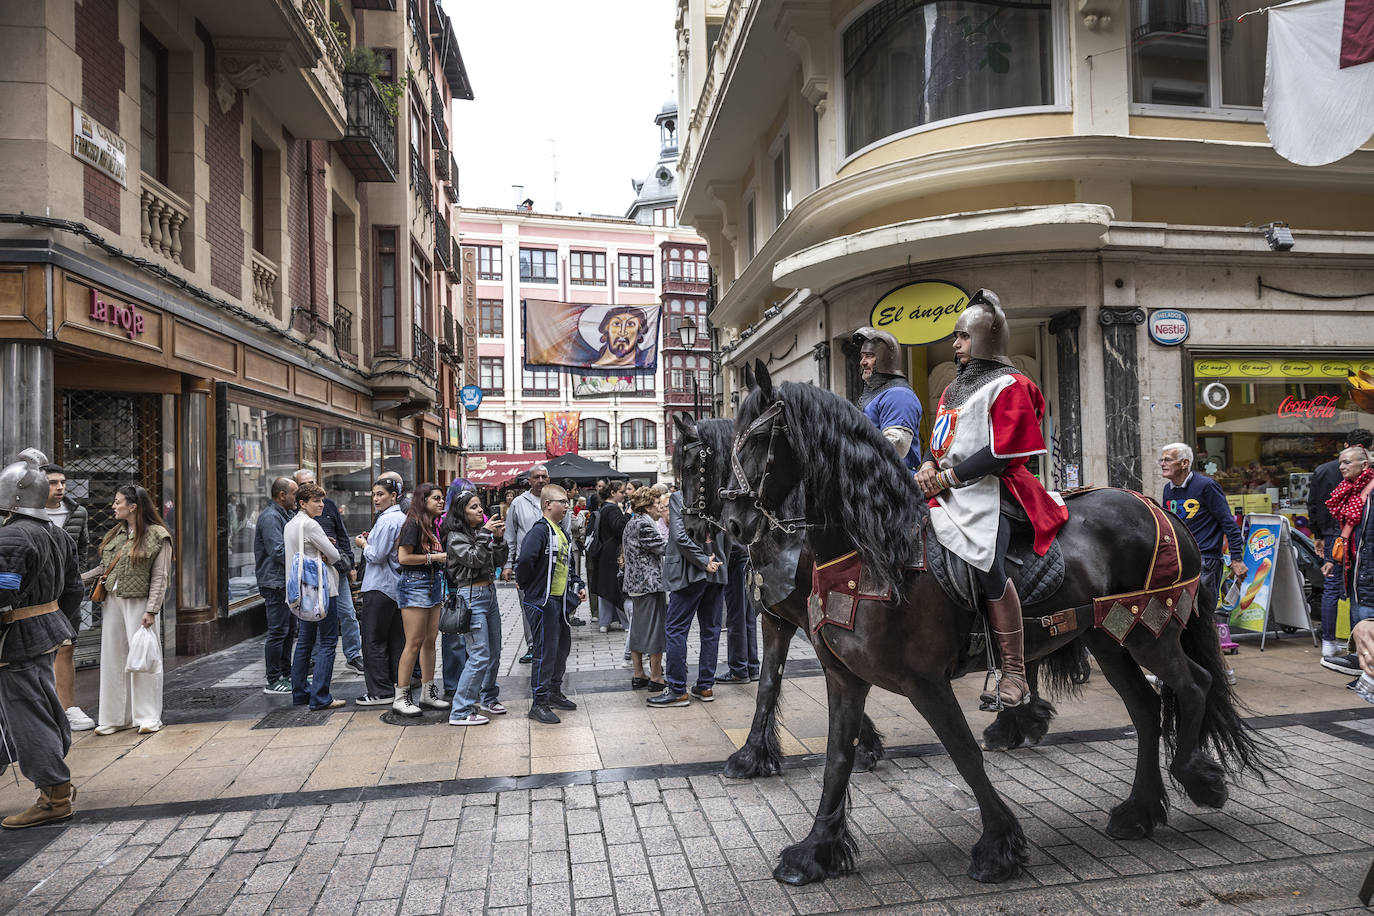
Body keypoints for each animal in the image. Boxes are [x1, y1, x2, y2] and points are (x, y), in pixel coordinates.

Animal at [670, 414, 1055, 780]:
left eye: (689, 467)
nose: (691, 529)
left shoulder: (816, 622)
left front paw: (864, 745)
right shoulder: (777, 619)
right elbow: (768, 683)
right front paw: (752, 756)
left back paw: (1015, 717)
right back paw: (1021, 720)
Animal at [719, 359, 1275, 889]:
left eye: (761, 438)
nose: (734, 525)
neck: (874, 555)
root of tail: (1158, 506)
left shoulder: (924, 682)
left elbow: (963, 753)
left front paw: (998, 847)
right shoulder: (845, 677)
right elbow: (837, 759)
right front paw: (814, 852)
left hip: (1149, 630)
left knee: (1194, 683)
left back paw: (1197, 776)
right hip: (1108, 637)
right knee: (1146, 708)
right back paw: (1139, 811)